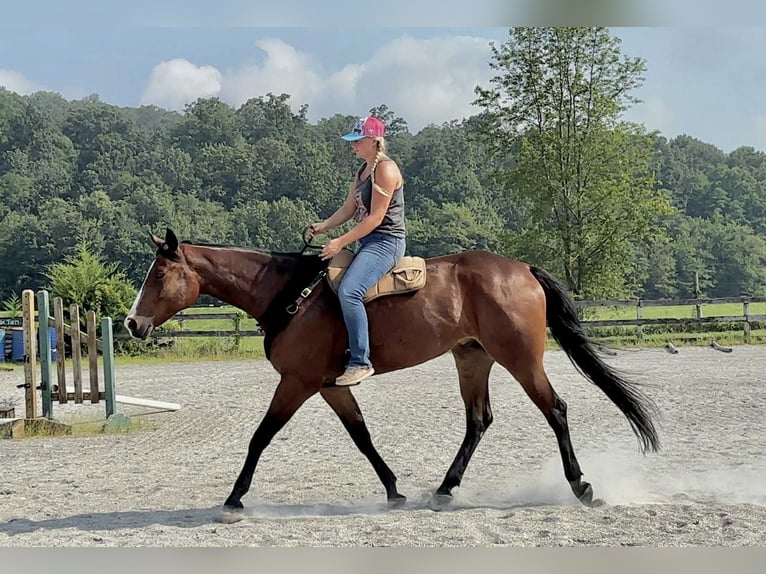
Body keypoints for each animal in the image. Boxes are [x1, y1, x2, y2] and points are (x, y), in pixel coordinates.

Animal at [124, 228, 660, 522]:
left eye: (158, 275)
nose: (131, 323)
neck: (289, 295)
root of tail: (522, 270)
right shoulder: (328, 387)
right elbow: (362, 436)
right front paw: (394, 490)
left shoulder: (296, 383)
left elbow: (261, 437)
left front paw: (235, 498)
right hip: (472, 358)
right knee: (479, 420)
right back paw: (443, 490)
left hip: (520, 359)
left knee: (555, 410)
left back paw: (581, 487)